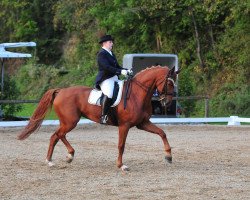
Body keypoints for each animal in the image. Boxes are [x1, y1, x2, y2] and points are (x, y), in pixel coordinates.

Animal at [17, 65, 179, 170]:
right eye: (169, 83)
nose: (167, 102)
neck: (137, 94)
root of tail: (61, 91)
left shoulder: (143, 123)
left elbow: (162, 133)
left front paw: (169, 156)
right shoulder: (124, 125)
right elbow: (121, 145)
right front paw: (121, 165)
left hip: (67, 122)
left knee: (55, 136)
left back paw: (53, 160)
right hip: (70, 122)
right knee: (58, 135)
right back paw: (66, 156)